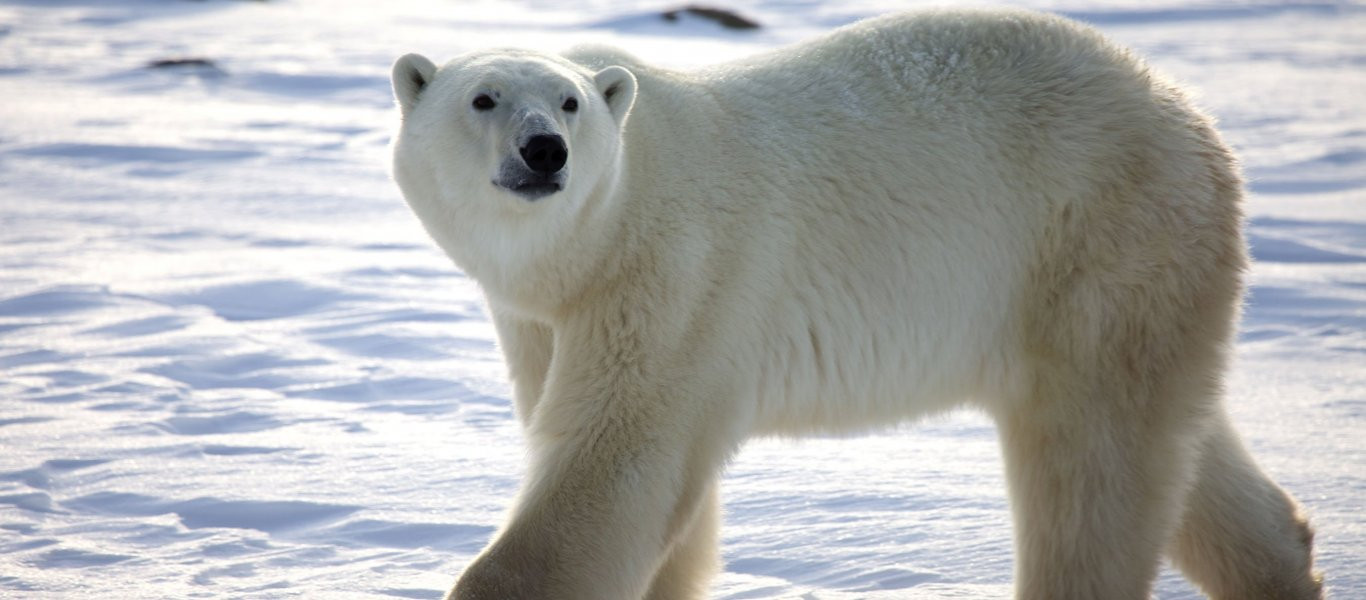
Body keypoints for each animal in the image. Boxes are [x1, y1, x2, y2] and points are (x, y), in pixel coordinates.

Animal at [387, 5, 1322, 600]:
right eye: (483, 97)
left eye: (570, 102)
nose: (544, 150)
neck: (601, 233)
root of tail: (1186, 115)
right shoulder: (545, 319)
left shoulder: (675, 274)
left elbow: (614, 464)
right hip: (1143, 277)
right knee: (1176, 442)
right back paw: (1284, 561)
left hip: (1092, 239)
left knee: (1091, 463)